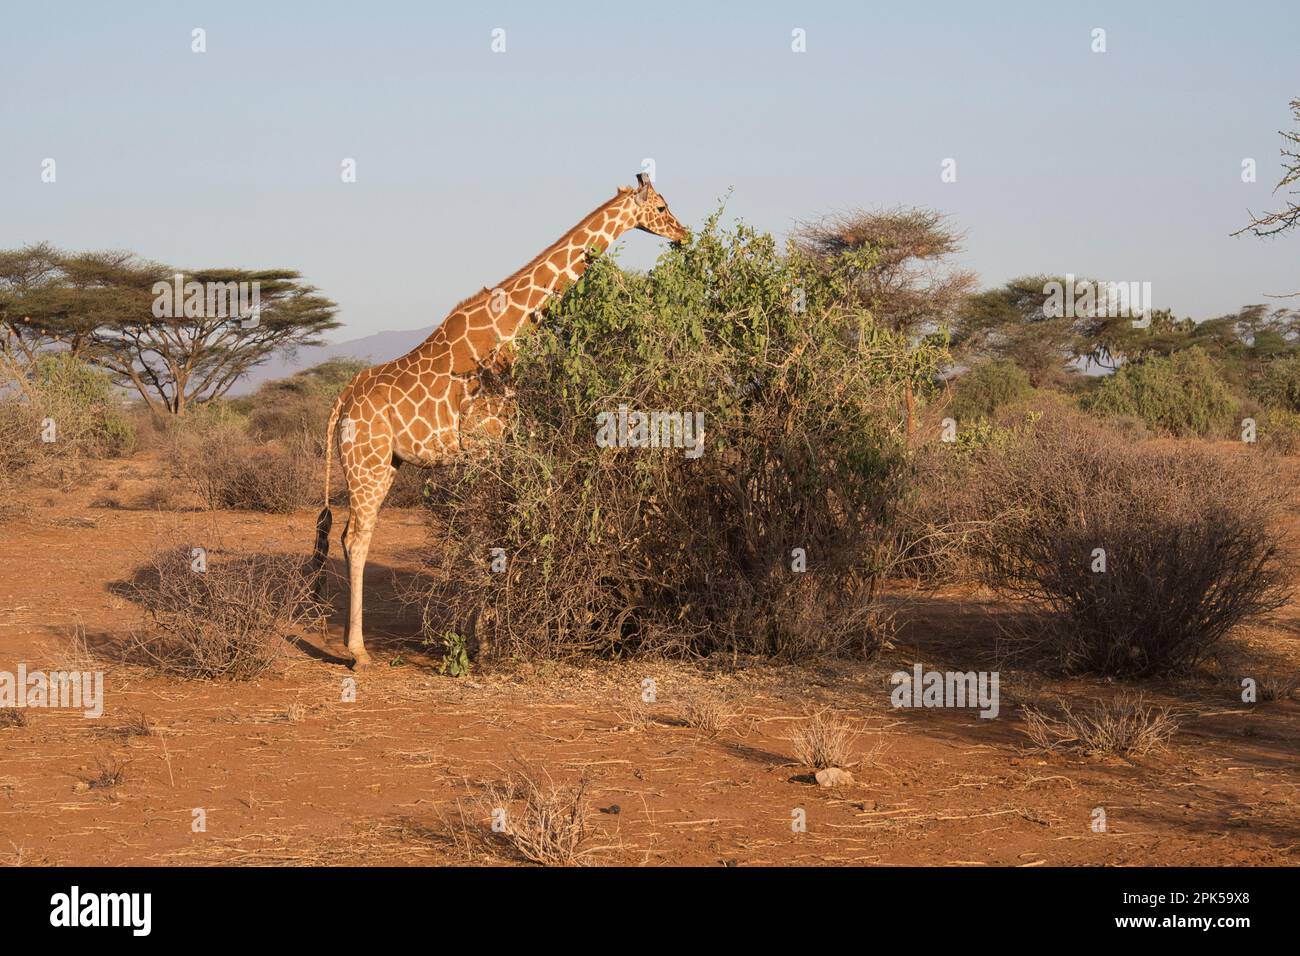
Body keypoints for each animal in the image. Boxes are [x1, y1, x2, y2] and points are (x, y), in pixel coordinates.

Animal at [310, 174, 691, 665]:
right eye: (661, 207)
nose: (684, 233)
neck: (509, 326)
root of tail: (341, 401)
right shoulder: (482, 445)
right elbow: (483, 536)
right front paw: (484, 642)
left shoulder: (495, 447)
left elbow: (491, 531)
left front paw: (484, 638)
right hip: (367, 462)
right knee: (355, 539)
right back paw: (358, 652)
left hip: (384, 464)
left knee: (350, 535)